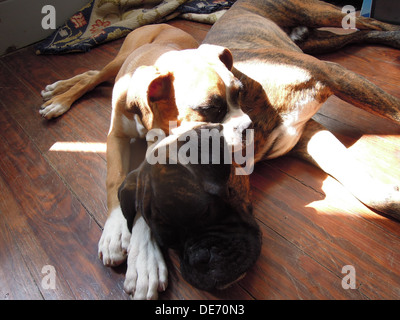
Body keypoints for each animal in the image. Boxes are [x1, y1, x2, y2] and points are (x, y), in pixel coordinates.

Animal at [41, 0, 400, 300]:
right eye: (167, 237)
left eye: (210, 208)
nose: (202, 258)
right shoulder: (307, 135)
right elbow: (362, 183)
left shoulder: (332, 77)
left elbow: (391, 115)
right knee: (95, 74)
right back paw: (58, 95)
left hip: (319, 15)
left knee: (365, 23)